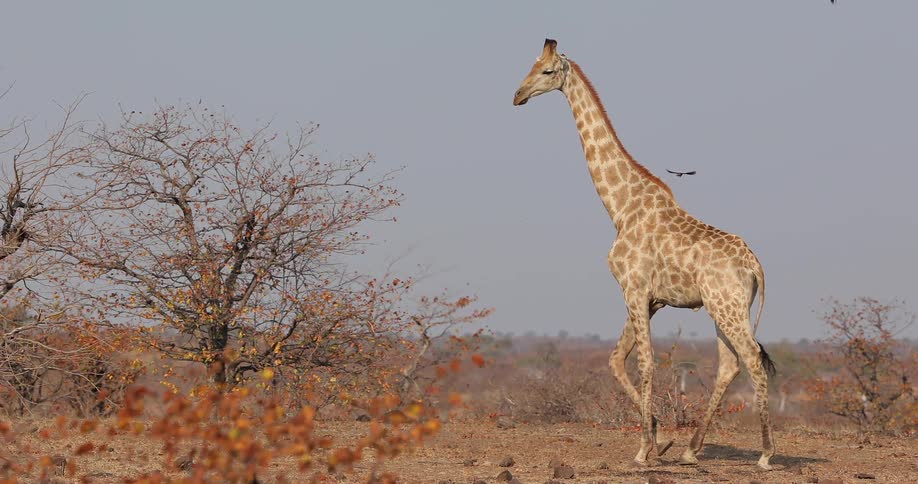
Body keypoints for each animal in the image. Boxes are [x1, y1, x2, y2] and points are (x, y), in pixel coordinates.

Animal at [512, 39, 777, 470]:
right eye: (531, 64)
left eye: (547, 71)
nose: (517, 95)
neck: (619, 206)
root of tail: (756, 266)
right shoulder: (651, 299)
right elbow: (616, 359)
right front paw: (660, 439)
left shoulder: (634, 289)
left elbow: (644, 362)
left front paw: (643, 449)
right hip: (724, 306)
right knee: (730, 363)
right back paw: (690, 450)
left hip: (727, 306)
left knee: (752, 358)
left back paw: (766, 453)